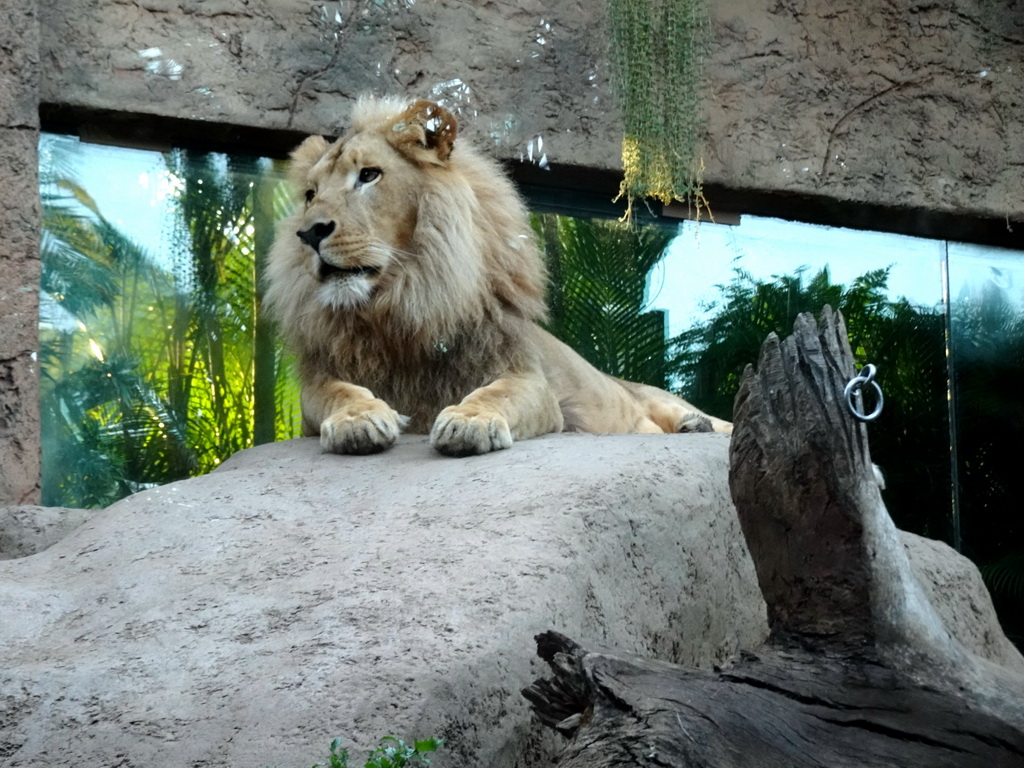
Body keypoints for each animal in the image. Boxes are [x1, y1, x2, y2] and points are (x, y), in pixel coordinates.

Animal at [264, 96, 729, 456]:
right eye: (311, 195)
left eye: (368, 175)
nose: (309, 233)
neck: (400, 303)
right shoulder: (316, 390)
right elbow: (336, 392)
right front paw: (358, 419)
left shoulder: (532, 382)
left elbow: (497, 392)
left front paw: (469, 421)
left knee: (719, 423)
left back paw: (697, 425)